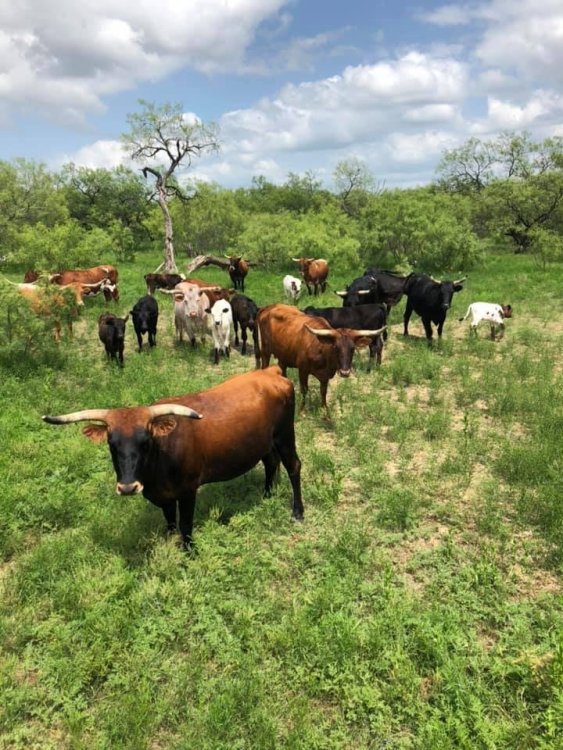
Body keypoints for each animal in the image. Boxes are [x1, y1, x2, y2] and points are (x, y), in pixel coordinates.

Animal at [42, 366, 303, 548]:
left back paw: (297, 512)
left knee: (293, 466)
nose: (127, 487)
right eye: (111, 444)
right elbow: (169, 521)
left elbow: (185, 524)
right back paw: (267, 495)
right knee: (271, 463)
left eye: (146, 442)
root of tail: (270, 372)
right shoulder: (163, 495)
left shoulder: (188, 490)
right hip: (265, 441)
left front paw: (188, 551)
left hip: (284, 434)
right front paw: (169, 542)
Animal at [254, 303, 384, 412]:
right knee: (264, 365)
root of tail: (268, 307)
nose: (344, 372)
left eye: (352, 348)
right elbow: (304, 389)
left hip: (283, 355)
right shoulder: (303, 370)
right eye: (335, 347)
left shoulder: (325, 376)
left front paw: (324, 410)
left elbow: (323, 391)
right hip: (265, 350)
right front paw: (302, 410)